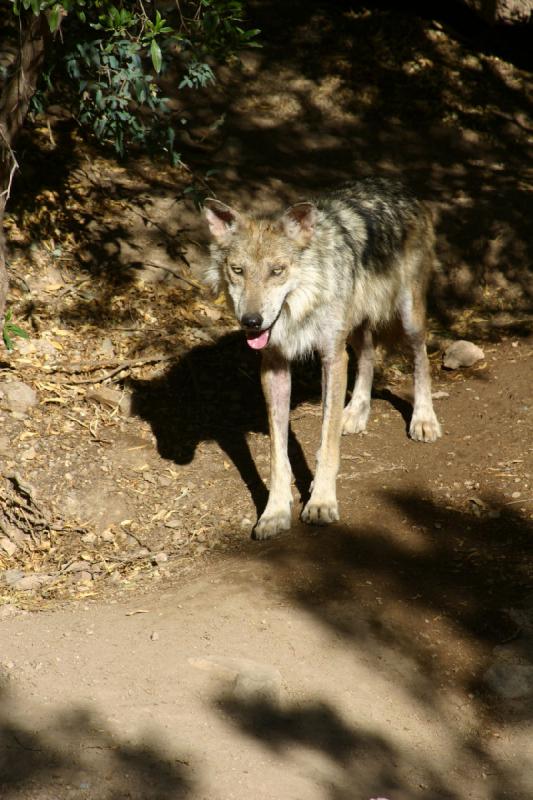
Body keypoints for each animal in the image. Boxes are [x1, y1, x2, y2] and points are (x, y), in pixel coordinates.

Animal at [203, 178, 440, 540]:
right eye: (238, 271)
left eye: (277, 271)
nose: (252, 322)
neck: (301, 306)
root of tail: (396, 185)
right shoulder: (274, 366)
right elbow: (277, 455)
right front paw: (274, 512)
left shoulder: (331, 357)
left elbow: (327, 444)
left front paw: (322, 502)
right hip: (354, 329)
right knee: (368, 358)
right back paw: (355, 413)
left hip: (407, 318)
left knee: (420, 359)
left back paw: (424, 419)